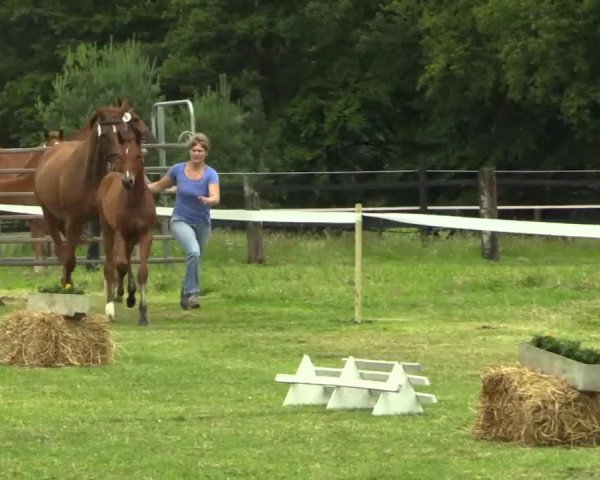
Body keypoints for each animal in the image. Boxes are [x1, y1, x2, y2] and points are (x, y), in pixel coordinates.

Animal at [34, 103, 135, 286]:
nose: (119, 166)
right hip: (50, 216)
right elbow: (69, 259)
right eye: (106, 135)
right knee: (61, 250)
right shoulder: (72, 220)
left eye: (123, 132)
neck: (89, 177)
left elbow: (113, 260)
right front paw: (67, 285)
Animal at [97, 127, 156, 326]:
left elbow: (142, 271)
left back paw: (129, 295)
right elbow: (120, 265)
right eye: (122, 156)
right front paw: (120, 296)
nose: (127, 181)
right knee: (110, 266)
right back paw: (111, 305)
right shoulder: (121, 233)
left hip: (131, 238)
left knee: (127, 260)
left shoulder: (146, 234)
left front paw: (143, 313)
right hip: (108, 231)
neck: (135, 201)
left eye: (138, 156)